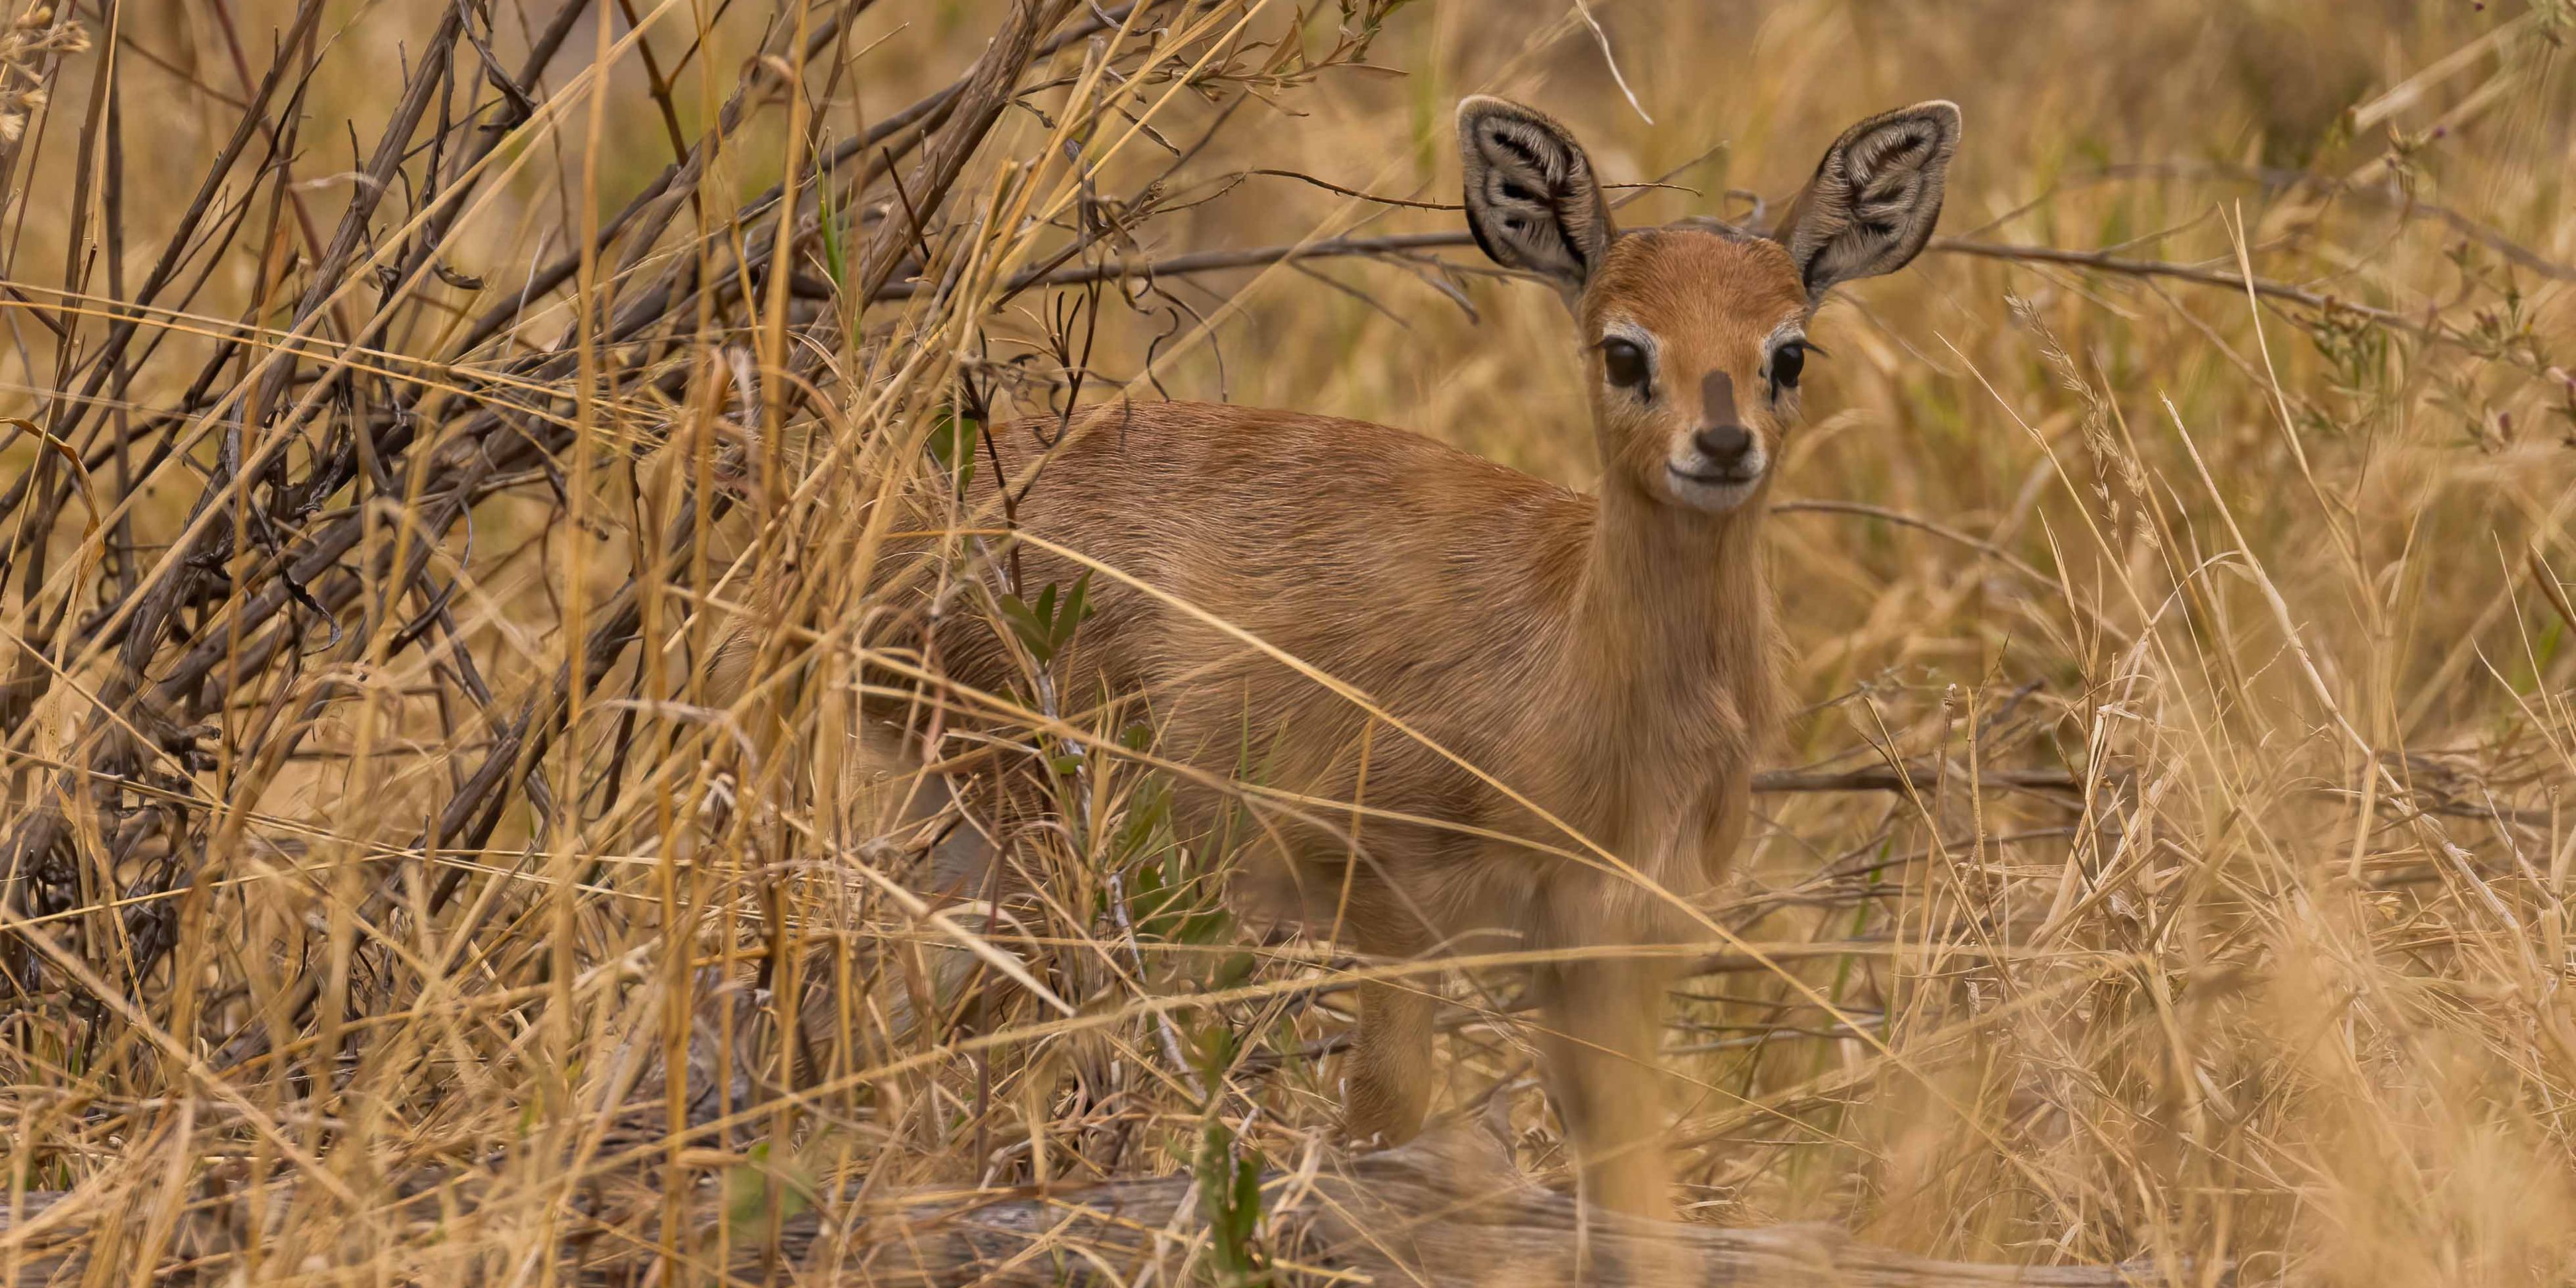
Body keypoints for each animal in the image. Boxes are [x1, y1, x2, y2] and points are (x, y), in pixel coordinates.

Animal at [910, 97, 1959, 1215]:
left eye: (1790, 351)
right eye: (1624, 350)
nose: (1720, 445)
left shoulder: (1618, 940)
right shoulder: (1393, 902)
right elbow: (1386, 1115)